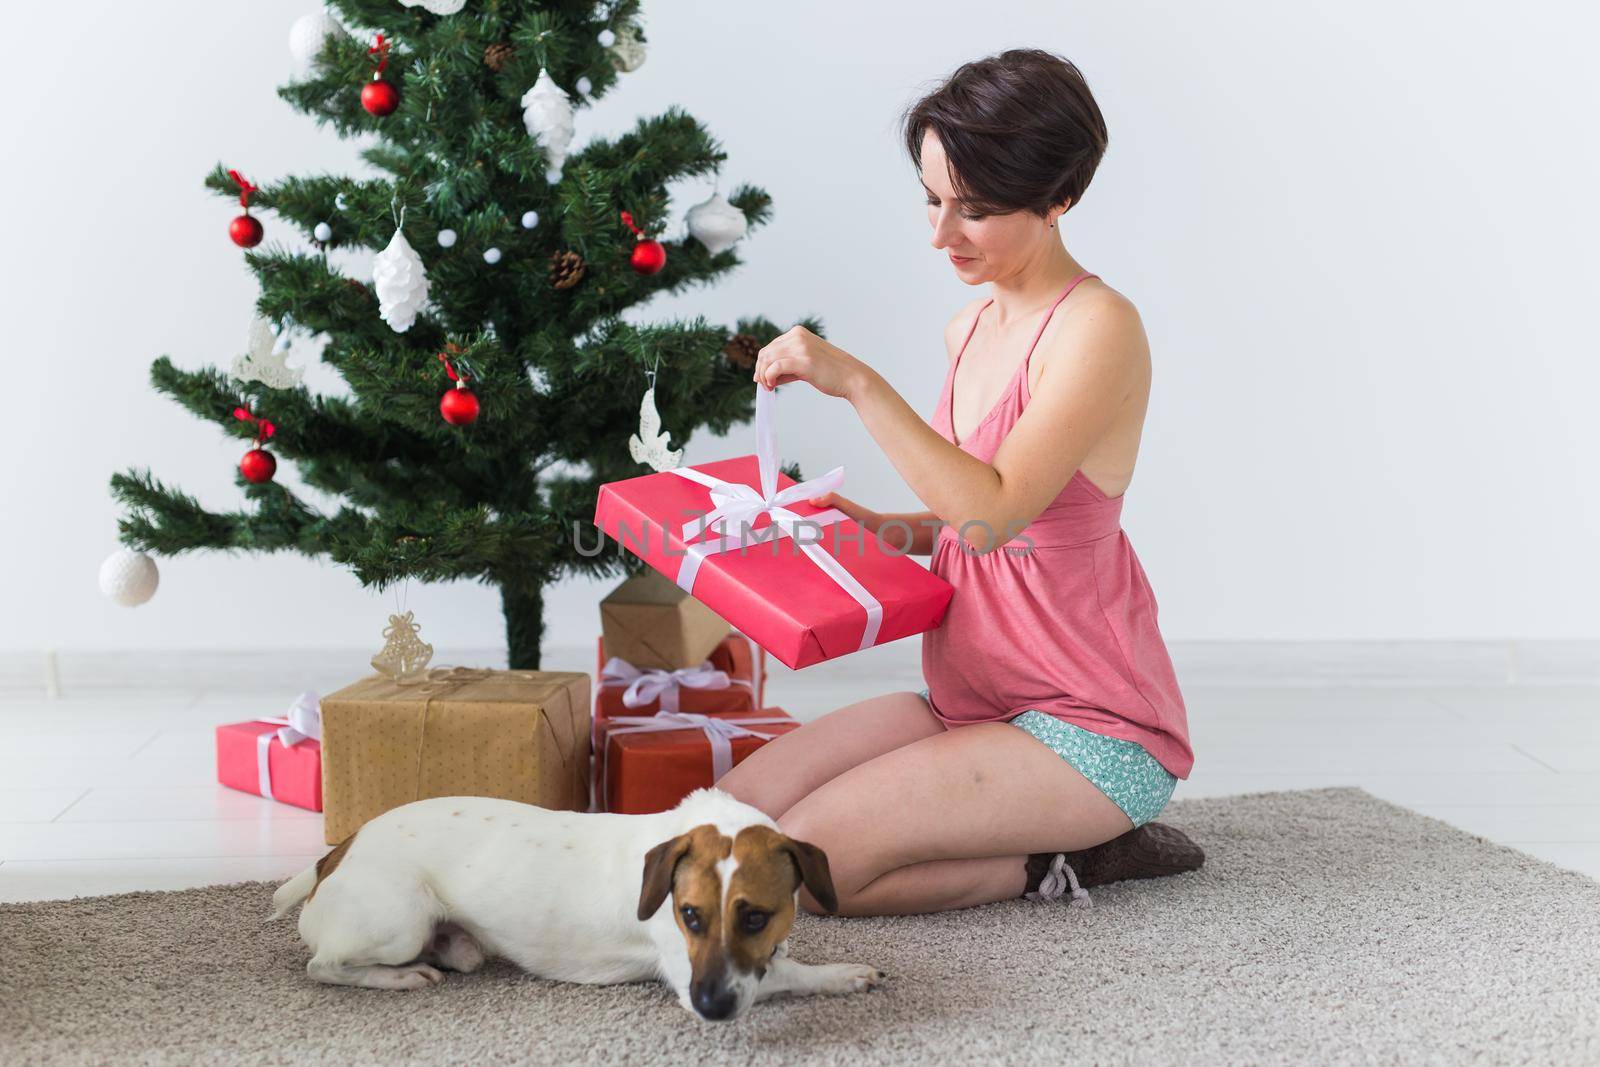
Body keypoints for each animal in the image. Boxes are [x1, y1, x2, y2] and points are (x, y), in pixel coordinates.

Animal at [265, 790, 889, 1023]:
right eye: (689, 915)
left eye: (755, 916)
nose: (709, 1007)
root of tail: (336, 854)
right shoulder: (689, 971)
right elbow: (793, 973)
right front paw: (845, 974)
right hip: (402, 922)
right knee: (322, 965)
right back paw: (398, 977)